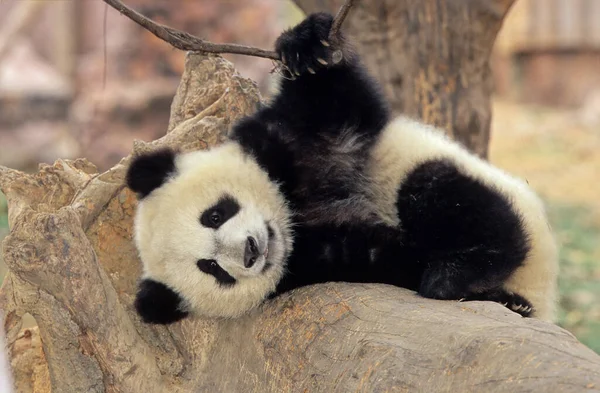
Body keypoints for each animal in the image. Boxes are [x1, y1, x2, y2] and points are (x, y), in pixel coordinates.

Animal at [126, 13, 556, 324]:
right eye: (213, 268)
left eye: (214, 214)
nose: (250, 251)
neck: (290, 214)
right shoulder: (316, 260)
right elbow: (379, 253)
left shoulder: (281, 140)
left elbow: (336, 103)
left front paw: (304, 46)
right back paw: (482, 289)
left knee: (450, 197)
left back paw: (464, 268)